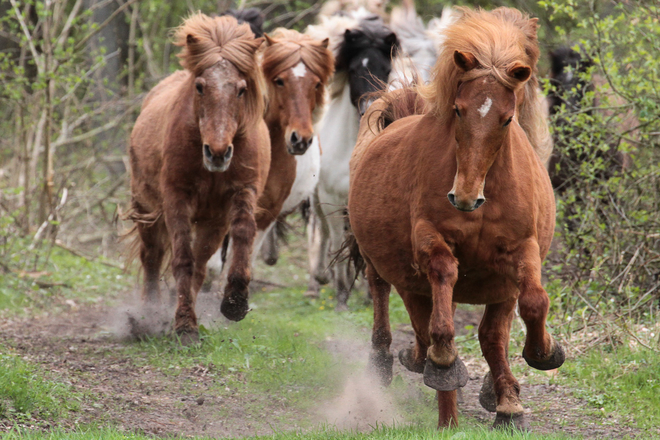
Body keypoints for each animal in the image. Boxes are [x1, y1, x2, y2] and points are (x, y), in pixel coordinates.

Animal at [126, 12, 270, 336]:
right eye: (201, 86)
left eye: (241, 89)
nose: (217, 152)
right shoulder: (176, 197)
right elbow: (182, 260)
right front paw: (185, 325)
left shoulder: (242, 192)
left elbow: (243, 233)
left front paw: (235, 301)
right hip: (146, 207)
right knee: (152, 256)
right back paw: (147, 316)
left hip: (211, 221)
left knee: (201, 263)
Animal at [306, 10, 402, 306]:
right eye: (354, 69)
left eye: (386, 69)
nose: (369, 108)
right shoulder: (332, 200)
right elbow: (336, 240)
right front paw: (340, 296)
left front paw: (369, 294)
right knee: (321, 232)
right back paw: (317, 281)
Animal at [348, 7, 564, 430]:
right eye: (459, 110)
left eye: (507, 118)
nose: (463, 198)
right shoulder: (430, 240)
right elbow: (444, 285)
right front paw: (447, 364)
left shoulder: (521, 252)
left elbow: (530, 305)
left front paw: (539, 359)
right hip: (381, 263)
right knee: (388, 300)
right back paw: (404, 368)